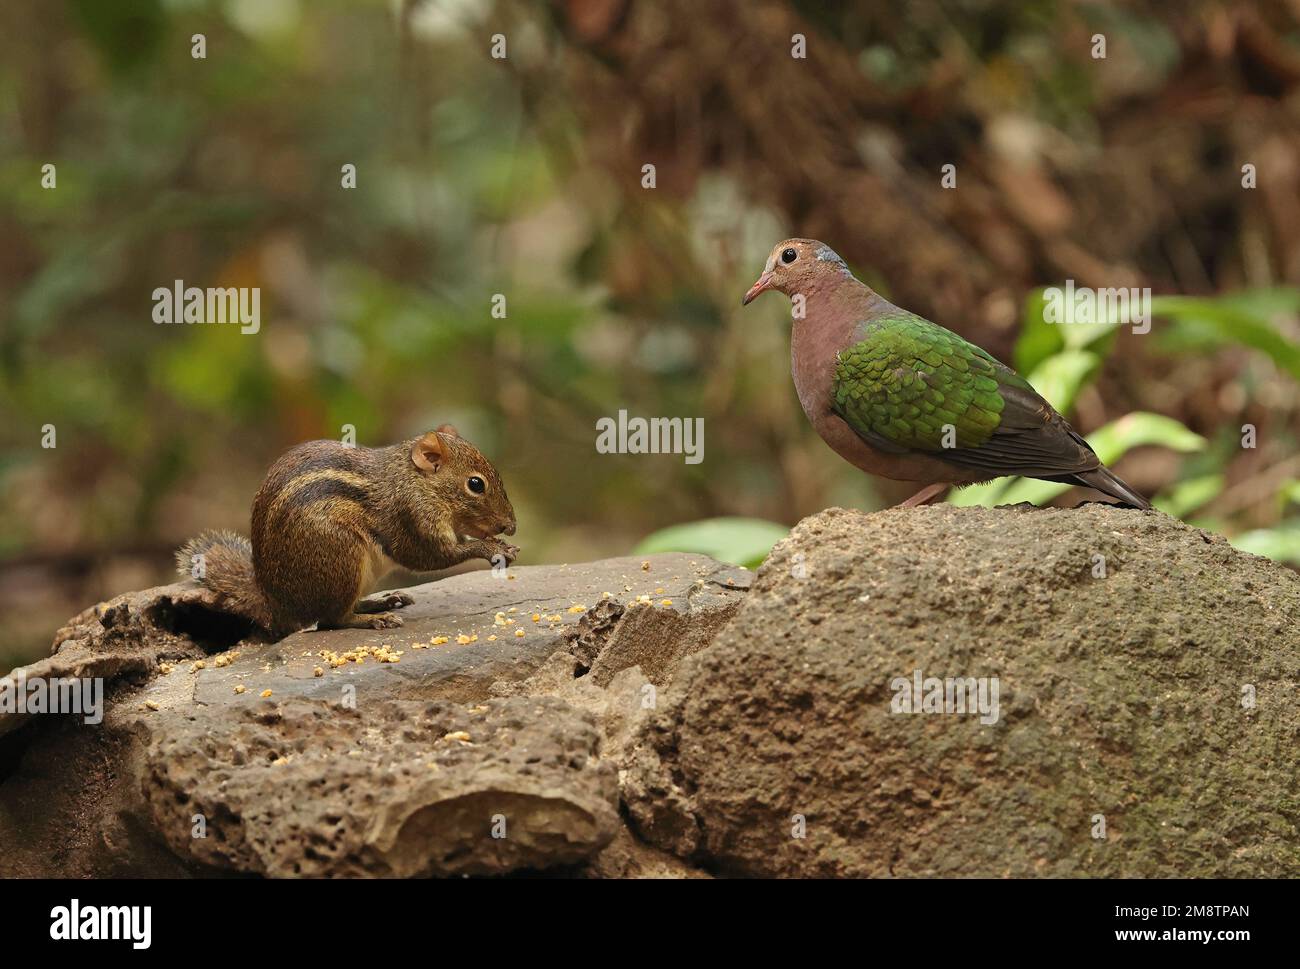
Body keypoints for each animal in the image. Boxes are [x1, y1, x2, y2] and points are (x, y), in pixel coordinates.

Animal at [175, 424, 518, 639]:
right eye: (476, 484)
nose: (511, 526)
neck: (413, 480)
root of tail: (275, 604)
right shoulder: (410, 518)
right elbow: (429, 556)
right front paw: (492, 549)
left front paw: (503, 545)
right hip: (341, 554)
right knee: (332, 620)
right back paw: (375, 619)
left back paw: (384, 601)